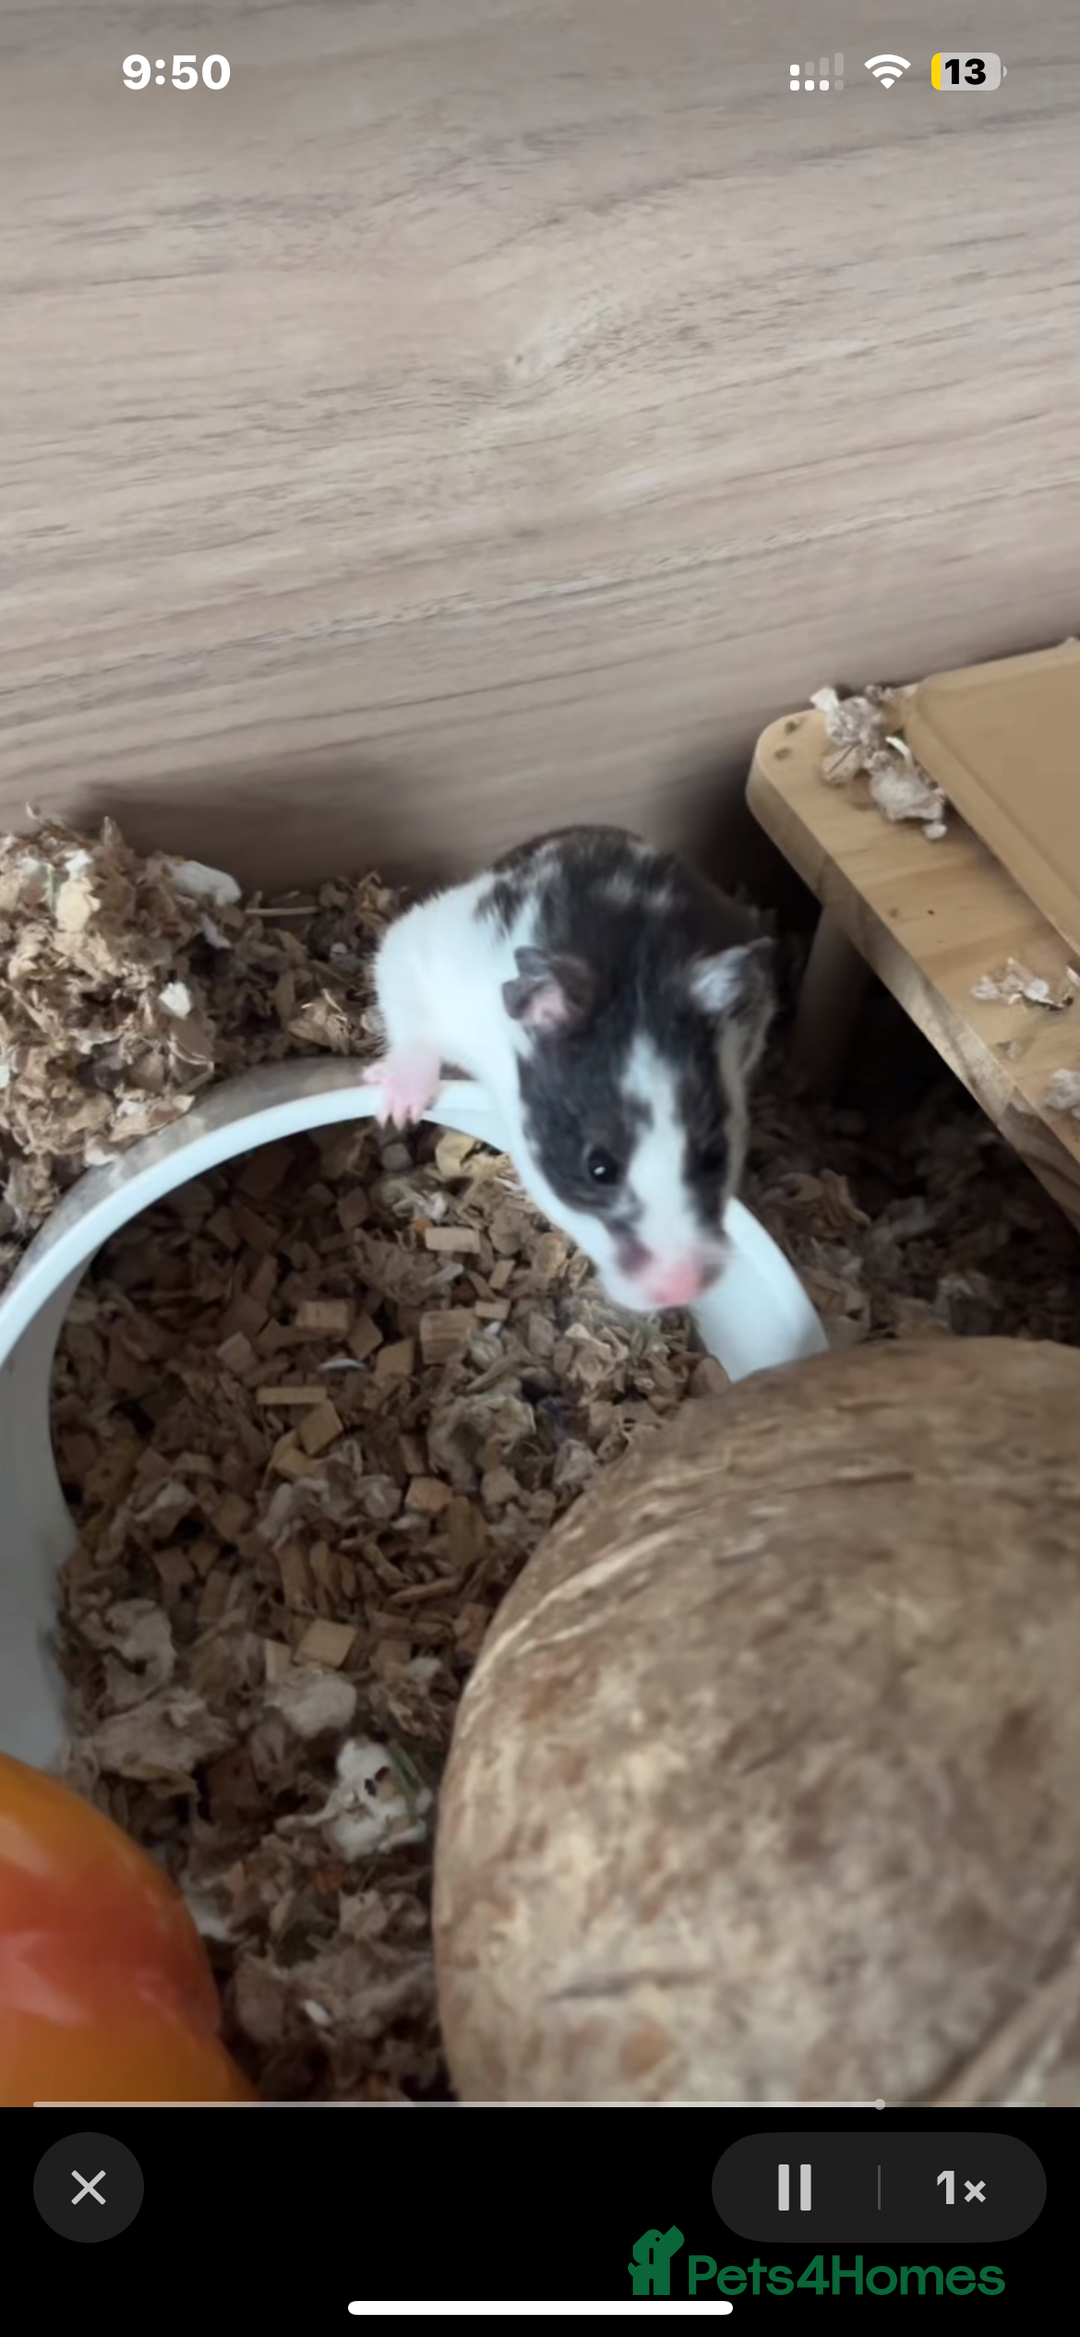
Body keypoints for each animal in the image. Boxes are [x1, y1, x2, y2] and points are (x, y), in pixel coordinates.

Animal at [363, 824, 775, 1314]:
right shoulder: (424, 954)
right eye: (600, 1169)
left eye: (714, 1156)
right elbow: (411, 1024)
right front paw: (395, 1111)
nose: (682, 1290)